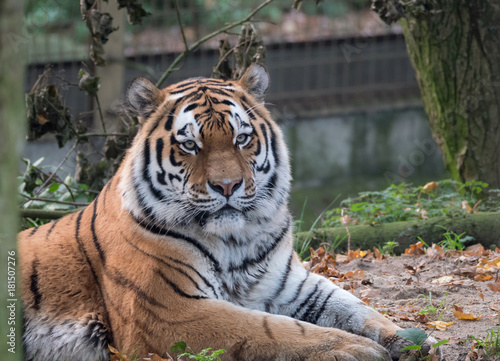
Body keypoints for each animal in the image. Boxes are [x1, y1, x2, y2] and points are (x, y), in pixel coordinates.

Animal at [18, 65, 438, 360]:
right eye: (189, 144)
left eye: (242, 138)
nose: (227, 186)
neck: (237, 240)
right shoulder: (168, 309)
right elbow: (269, 328)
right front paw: (355, 349)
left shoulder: (292, 284)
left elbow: (355, 306)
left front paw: (407, 338)